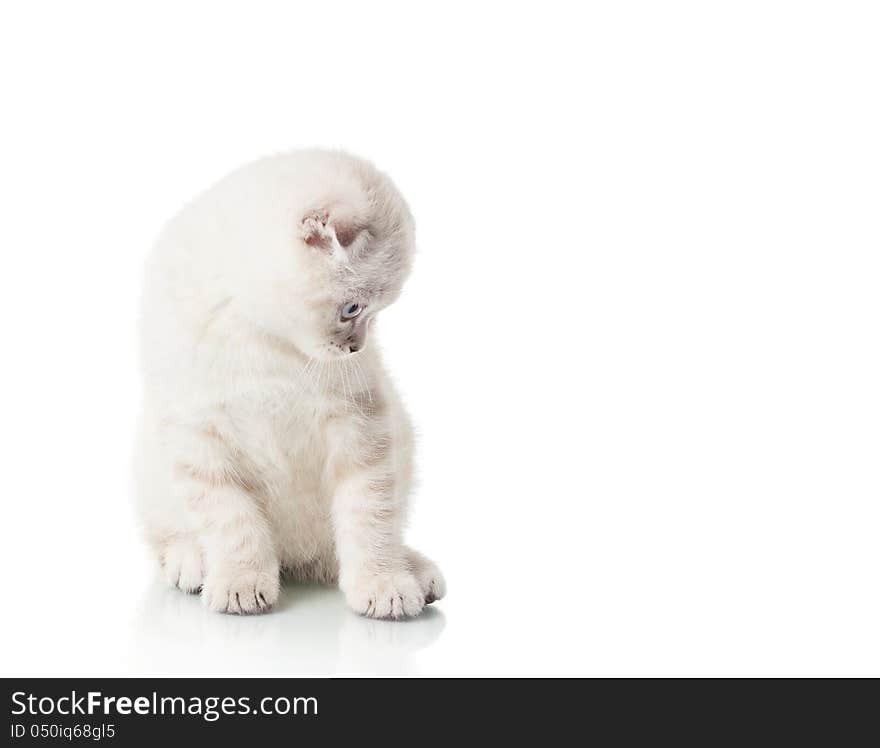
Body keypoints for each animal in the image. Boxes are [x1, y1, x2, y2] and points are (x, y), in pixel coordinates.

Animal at [133, 149, 444, 616]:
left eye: (374, 312)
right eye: (352, 308)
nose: (357, 349)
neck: (264, 338)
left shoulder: (361, 421)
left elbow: (369, 514)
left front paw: (383, 584)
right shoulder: (198, 433)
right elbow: (232, 518)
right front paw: (241, 583)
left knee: (338, 550)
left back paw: (415, 570)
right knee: (170, 536)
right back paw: (193, 563)